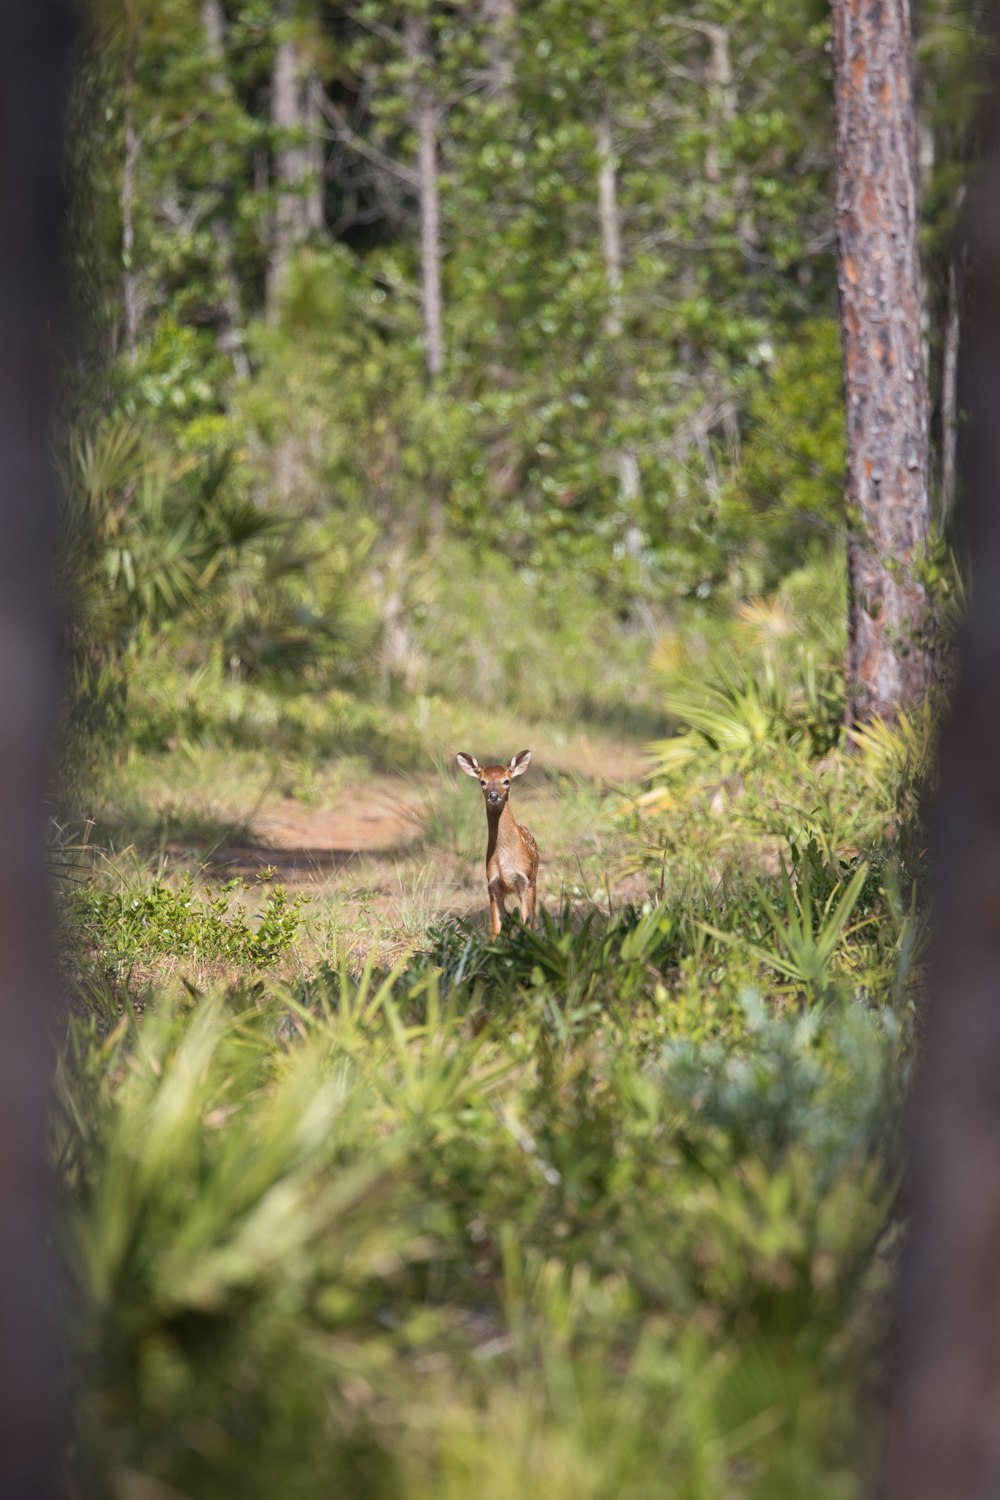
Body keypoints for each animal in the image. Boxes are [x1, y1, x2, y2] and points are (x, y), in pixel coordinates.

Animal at [458, 750, 539, 936]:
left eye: (506, 781)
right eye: (482, 782)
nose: (493, 795)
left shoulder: (525, 881)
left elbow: (527, 923)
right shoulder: (493, 885)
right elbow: (496, 929)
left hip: (534, 880)